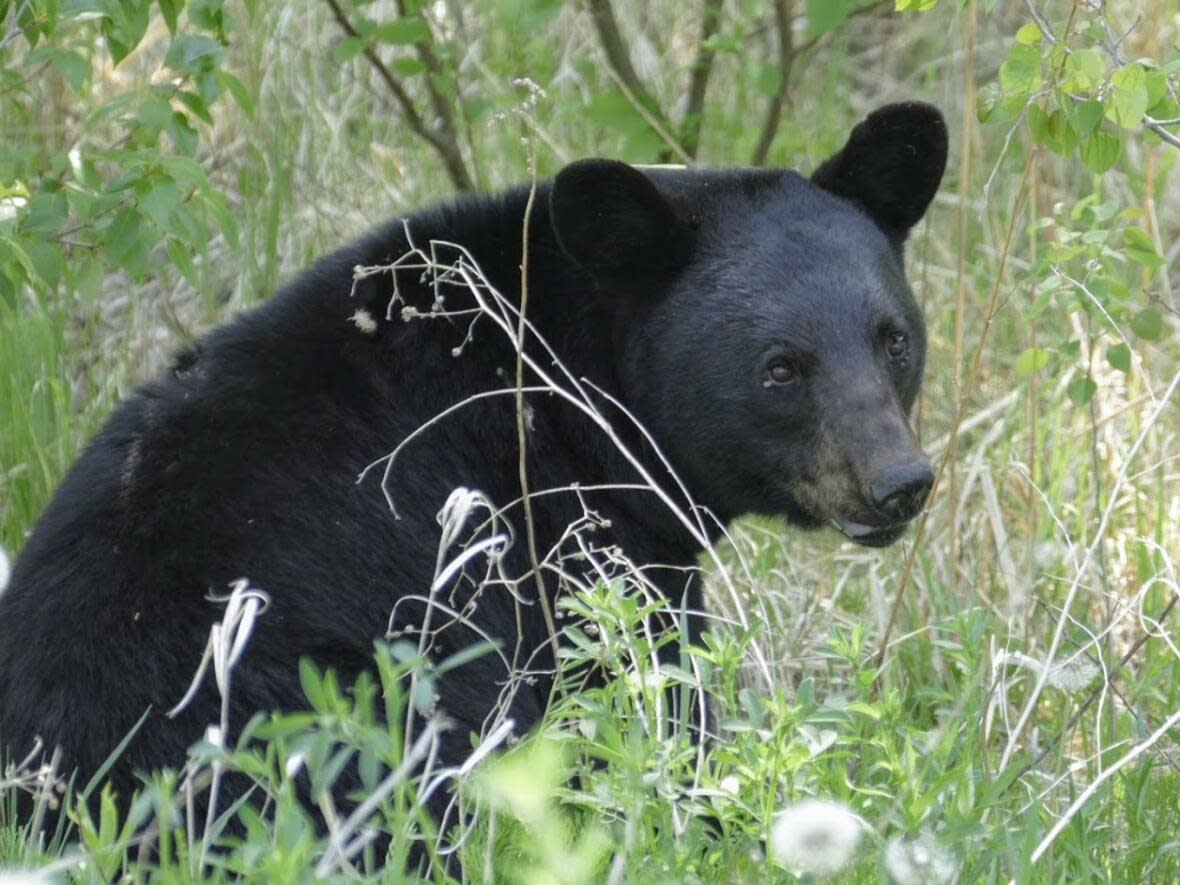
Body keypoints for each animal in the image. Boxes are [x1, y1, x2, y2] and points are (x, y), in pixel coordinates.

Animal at [0, 102, 943, 840]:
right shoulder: (566, 542)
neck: (563, 381)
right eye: (780, 368)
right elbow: (645, 698)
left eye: (894, 339)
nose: (899, 481)